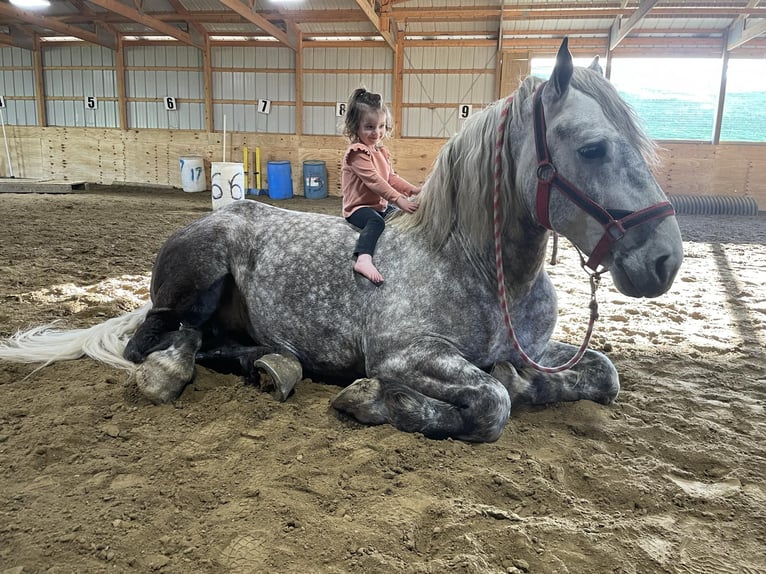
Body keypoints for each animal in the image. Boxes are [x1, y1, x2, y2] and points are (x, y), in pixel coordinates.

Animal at [0, 39, 684, 446]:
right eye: (592, 148)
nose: (665, 259)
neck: (479, 270)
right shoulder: (406, 355)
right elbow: (491, 403)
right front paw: (374, 401)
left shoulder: (539, 350)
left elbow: (601, 373)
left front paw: (529, 382)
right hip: (197, 279)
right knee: (157, 342)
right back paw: (177, 370)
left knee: (219, 342)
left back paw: (274, 365)